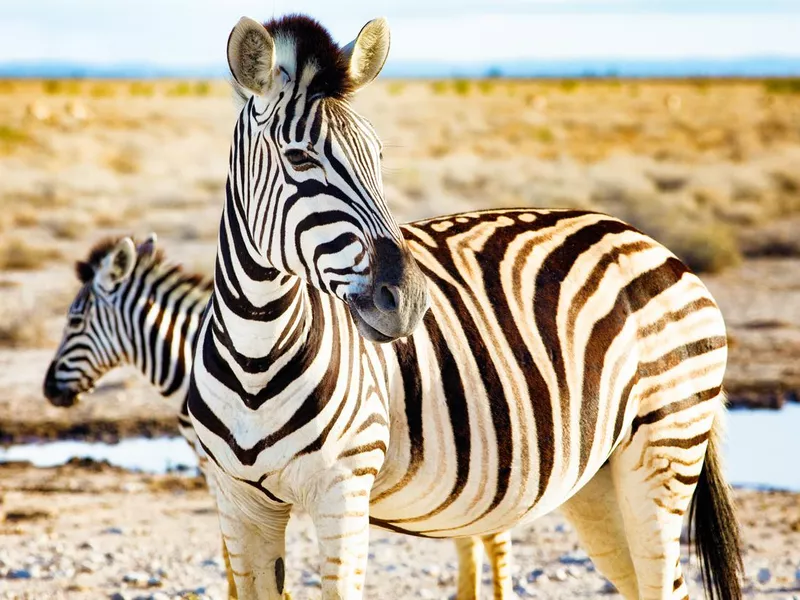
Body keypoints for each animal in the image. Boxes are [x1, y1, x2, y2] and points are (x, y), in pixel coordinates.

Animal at [188, 14, 744, 600]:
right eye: (299, 157)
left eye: (378, 157)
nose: (409, 301)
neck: (256, 355)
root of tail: (655, 244)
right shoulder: (239, 505)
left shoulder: (343, 492)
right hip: (598, 478)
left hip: (665, 446)